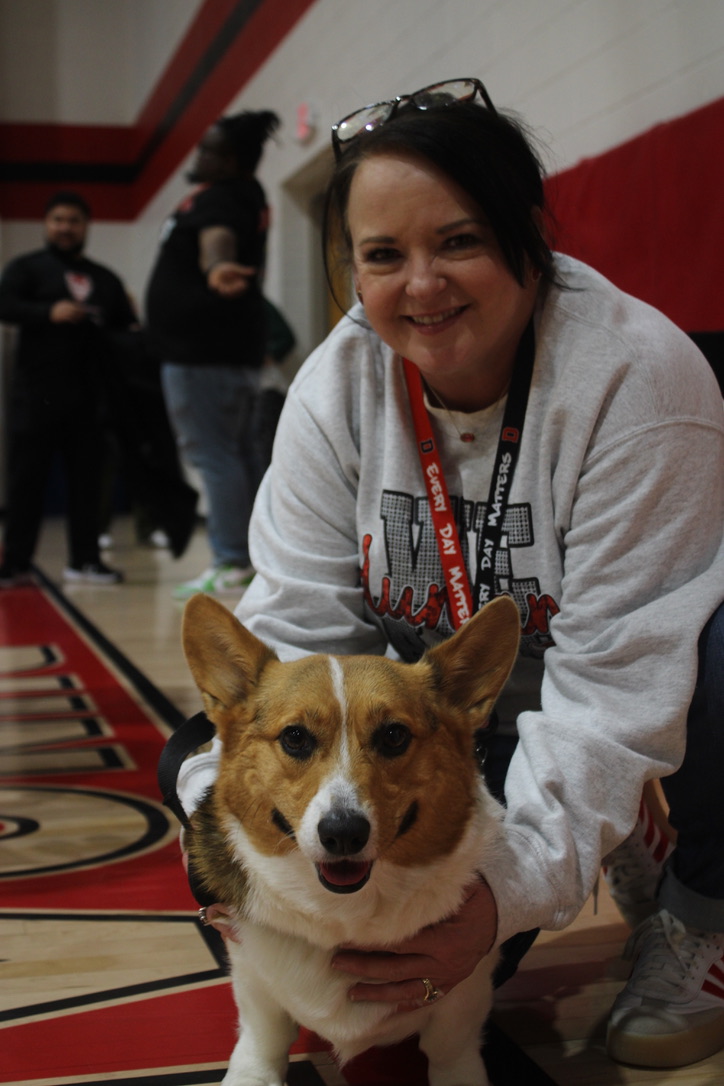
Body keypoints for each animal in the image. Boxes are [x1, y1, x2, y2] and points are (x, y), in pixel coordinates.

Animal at [181, 595, 521, 1086]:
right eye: (295, 737)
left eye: (394, 735)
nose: (343, 833)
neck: (342, 913)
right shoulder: (253, 979)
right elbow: (263, 1037)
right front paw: (252, 1073)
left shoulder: (465, 995)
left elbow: (451, 1053)